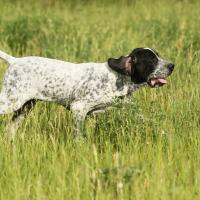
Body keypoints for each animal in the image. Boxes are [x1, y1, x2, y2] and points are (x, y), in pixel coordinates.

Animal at [0, 48, 174, 139]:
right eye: (152, 60)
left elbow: (146, 120)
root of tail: (15, 61)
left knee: (10, 130)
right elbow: (78, 135)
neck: (119, 78)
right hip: (10, 102)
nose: (172, 65)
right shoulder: (79, 108)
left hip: (24, 108)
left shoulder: (123, 107)